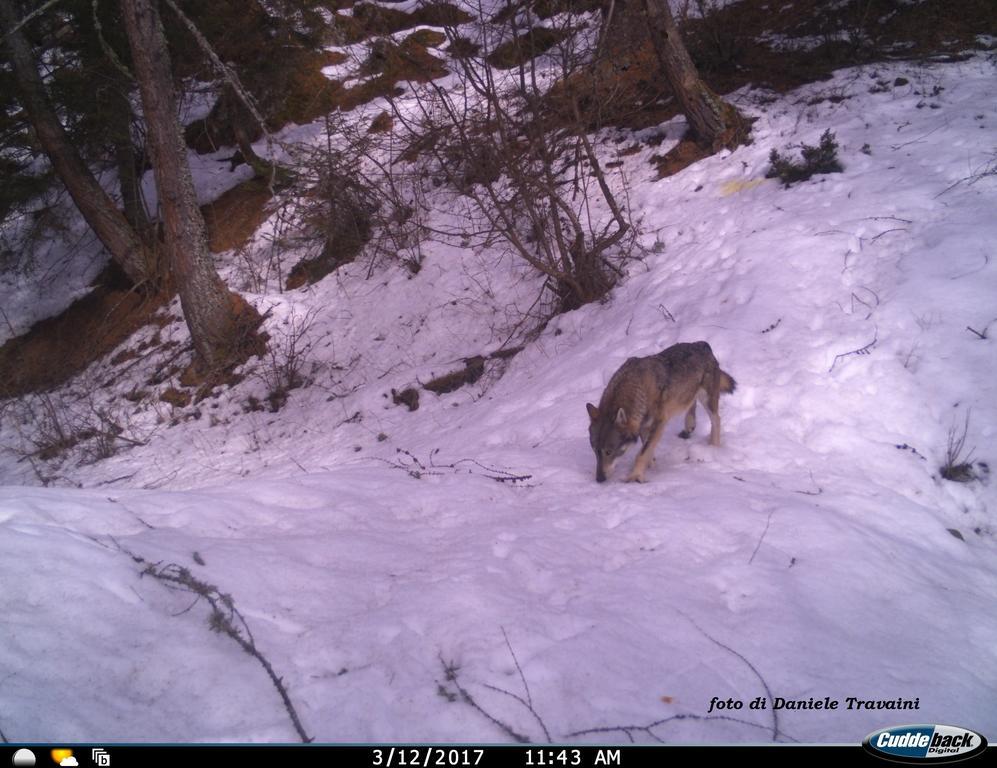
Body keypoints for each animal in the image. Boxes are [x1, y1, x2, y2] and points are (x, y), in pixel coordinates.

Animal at [584, 340, 732, 484]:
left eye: (608, 452)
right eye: (595, 451)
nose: (599, 479)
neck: (638, 390)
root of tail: (703, 344)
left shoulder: (659, 423)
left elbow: (642, 453)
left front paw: (635, 476)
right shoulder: (643, 426)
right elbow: (648, 450)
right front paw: (651, 467)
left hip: (707, 400)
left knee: (716, 420)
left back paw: (714, 446)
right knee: (691, 404)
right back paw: (688, 427)